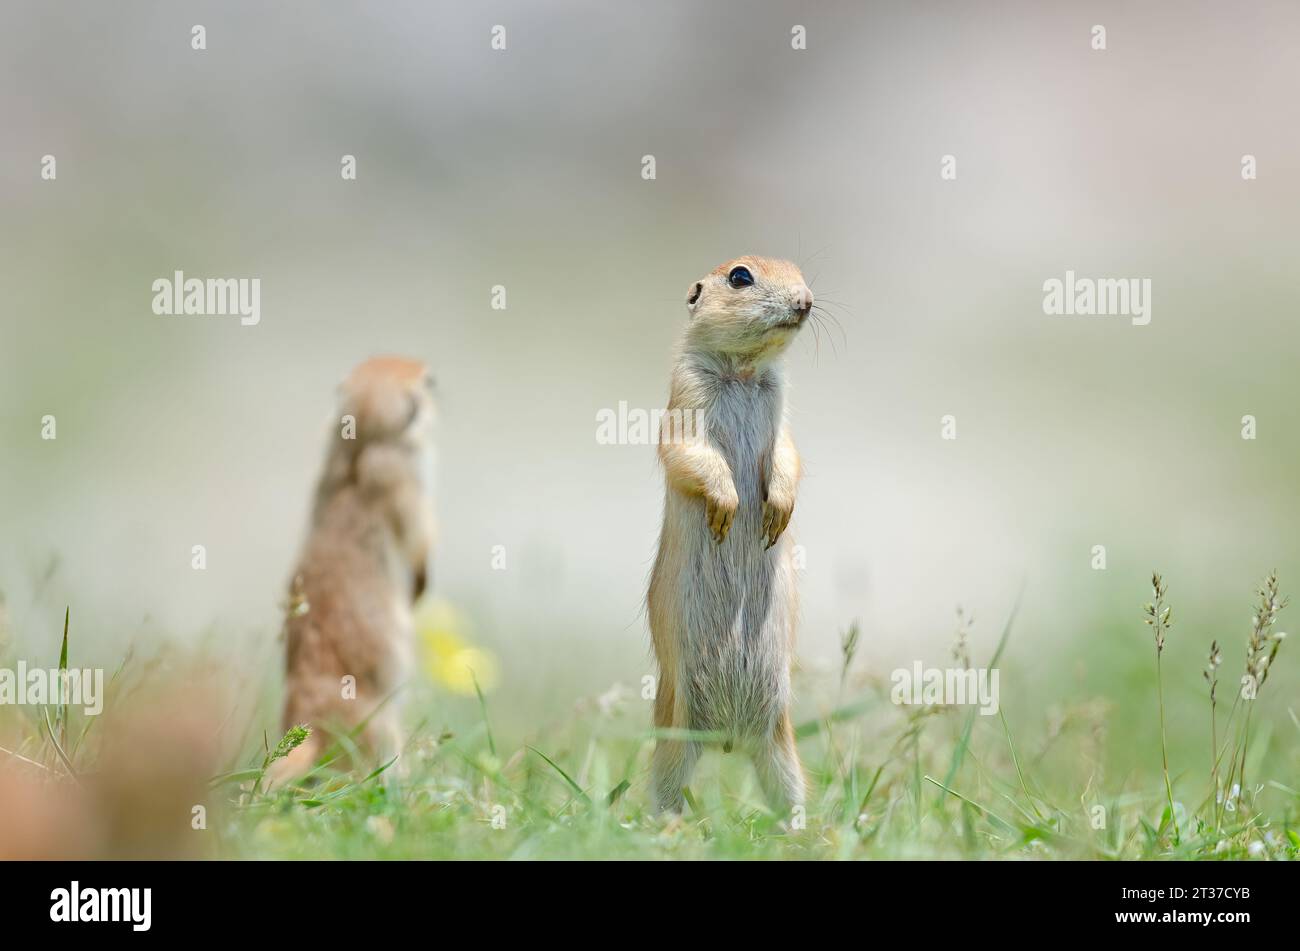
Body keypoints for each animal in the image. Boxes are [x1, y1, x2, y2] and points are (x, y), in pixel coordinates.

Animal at [647, 255, 816, 815]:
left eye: (799, 269)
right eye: (740, 276)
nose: (806, 301)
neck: (742, 371)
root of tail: (726, 739)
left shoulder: (783, 411)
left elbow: (788, 454)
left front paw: (776, 510)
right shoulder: (685, 395)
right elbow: (686, 451)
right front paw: (726, 506)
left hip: (779, 741)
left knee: (787, 788)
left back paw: (803, 827)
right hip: (674, 732)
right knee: (664, 788)